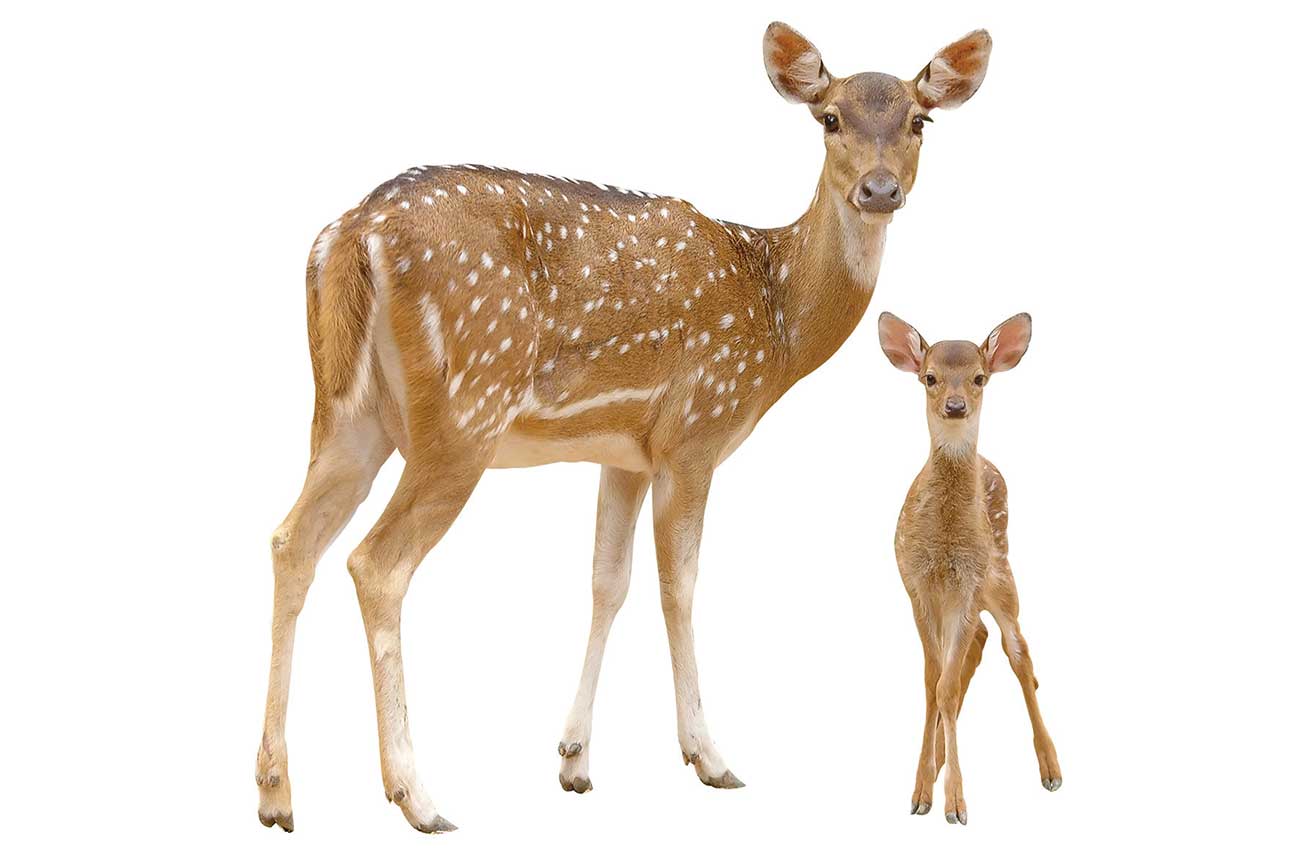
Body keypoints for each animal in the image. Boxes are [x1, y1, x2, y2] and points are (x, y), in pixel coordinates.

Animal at [255, 22, 992, 834]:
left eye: (920, 121)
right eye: (828, 117)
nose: (880, 189)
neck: (775, 317)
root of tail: (351, 234)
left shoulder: (625, 453)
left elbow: (608, 582)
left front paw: (574, 759)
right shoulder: (696, 432)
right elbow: (680, 585)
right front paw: (709, 755)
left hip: (346, 414)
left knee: (291, 542)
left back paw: (275, 793)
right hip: (462, 414)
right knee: (376, 564)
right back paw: (417, 795)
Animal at [877, 311, 1062, 825]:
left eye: (980, 377)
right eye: (929, 377)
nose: (956, 405)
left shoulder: (966, 585)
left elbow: (945, 686)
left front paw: (953, 803)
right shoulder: (916, 586)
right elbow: (932, 684)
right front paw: (921, 791)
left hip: (1001, 577)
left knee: (1018, 653)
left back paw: (1050, 767)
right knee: (973, 652)